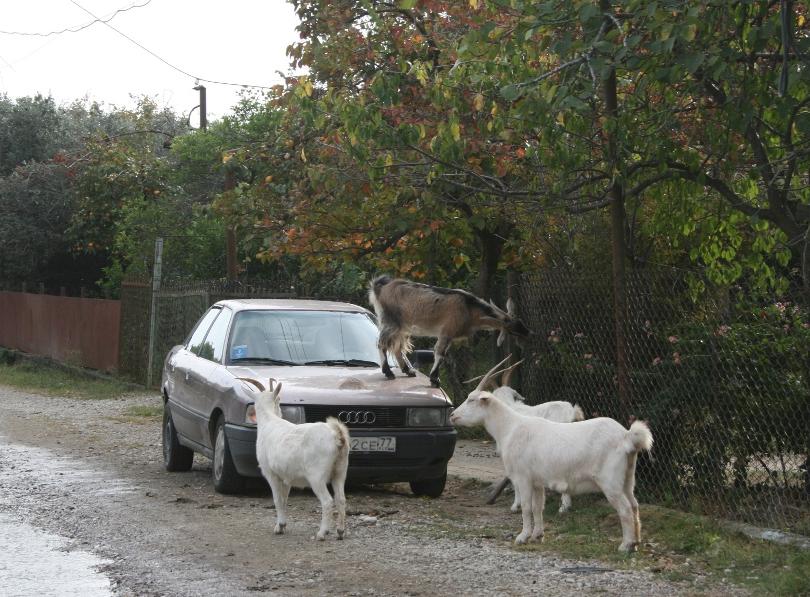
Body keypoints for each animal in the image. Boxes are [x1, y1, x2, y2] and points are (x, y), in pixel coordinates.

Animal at [246, 380, 348, 544]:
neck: (269, 421)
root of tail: (337, 436)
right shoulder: (286, 477)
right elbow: (284, 499)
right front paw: (282, 525)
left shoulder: (271, 473)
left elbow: (277, 499)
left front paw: (279, 527)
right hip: (340, 471)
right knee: (341, 499)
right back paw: (340, 532)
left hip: (317, 476)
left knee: (327, 501)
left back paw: (322, 533)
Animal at [368, 274, 532, 386]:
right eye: (512, 330)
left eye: (521, 322)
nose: (528, 333)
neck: (469, 309)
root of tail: (380, 288)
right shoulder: (446, 332)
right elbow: (439, 353)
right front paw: (434, 380)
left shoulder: (450, 336)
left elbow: (443, 354)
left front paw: (435, 378)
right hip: (390, 321)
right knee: (381, 344)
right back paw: (388, 372)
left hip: (403, 327)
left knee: (397, 347)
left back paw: (408, 371)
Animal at [452, 356, 652, 552]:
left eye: (472, 399)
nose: (453, 415)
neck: (511, 426)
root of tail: (627, 436)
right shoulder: (537, 482)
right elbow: (538, 507)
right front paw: (537, 536)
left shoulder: (523, 478)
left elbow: (526, 507)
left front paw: (522, 537)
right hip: (627, 479)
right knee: (634, 505)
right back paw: (636, 543)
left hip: (610, 483)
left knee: (625, 509)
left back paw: (625, 546)